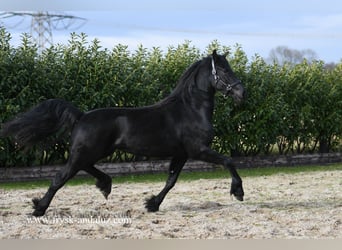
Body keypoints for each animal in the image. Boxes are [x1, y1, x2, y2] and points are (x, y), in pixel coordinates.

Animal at [0, 49, 246, 216]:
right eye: (223, 70)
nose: (242, 92)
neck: (190, 109)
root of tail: (82, 116)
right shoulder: (198, 150)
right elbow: (228, 160)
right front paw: (238, 192)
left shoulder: (182, 154)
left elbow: (171, 180)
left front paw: (152, 204)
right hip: (87, 151)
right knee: (60, 177)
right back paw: (39, 209)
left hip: (97, 152)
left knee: (84, 168)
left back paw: (105, 185)